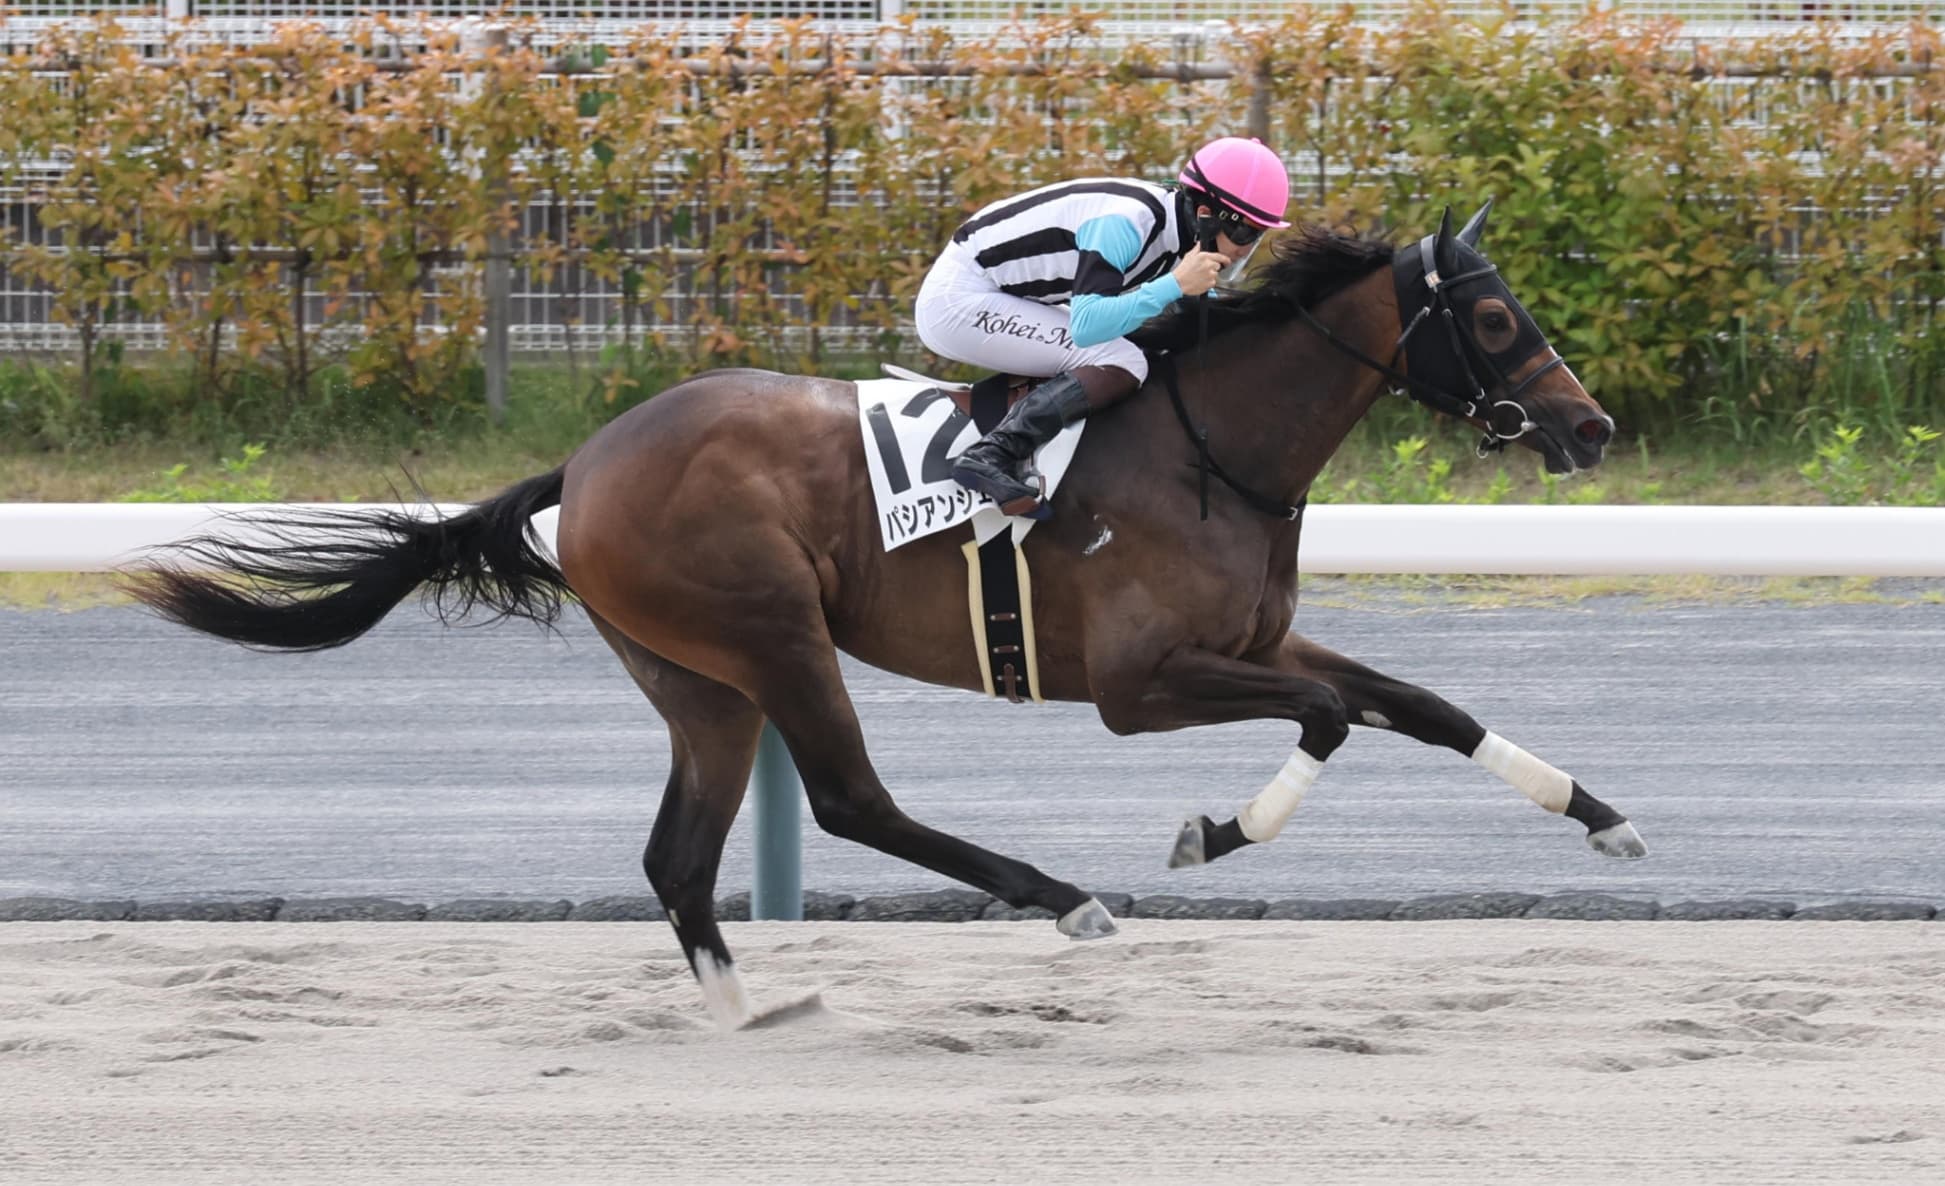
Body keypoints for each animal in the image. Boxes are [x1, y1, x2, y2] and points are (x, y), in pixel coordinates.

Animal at [127, 202, 1642, 1029]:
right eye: (1493, 321)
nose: (1590, 428)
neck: (1215, 444)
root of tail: (591, 458)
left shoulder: (1252, 641)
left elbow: (1422, 705)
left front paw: (1601, 813)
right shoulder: (1141, 681)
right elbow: (1330, 715)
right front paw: (1211, 833)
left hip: (699, 677)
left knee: (678, 856)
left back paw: (748, 1009)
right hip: (770, 631)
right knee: (851, 798)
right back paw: (1066, 900)